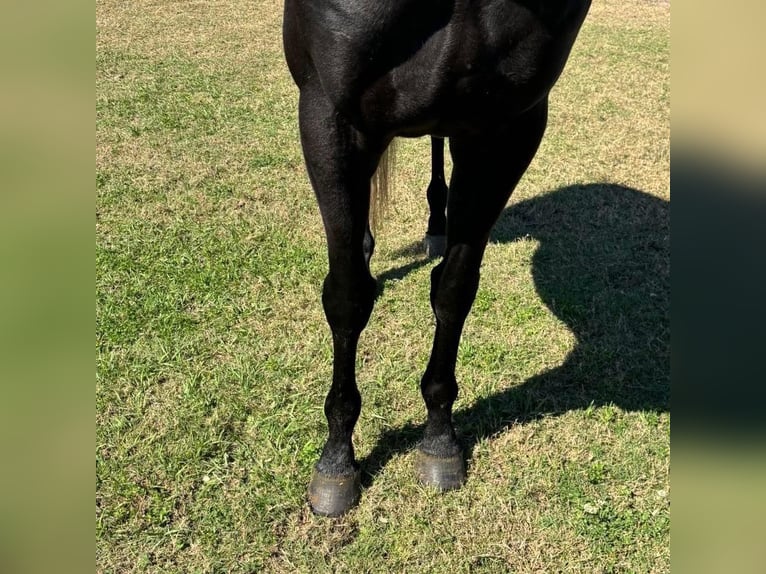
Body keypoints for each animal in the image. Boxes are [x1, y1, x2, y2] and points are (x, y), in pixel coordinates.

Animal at [284, 0, 592, 516]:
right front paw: (337, 460)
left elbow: (454, 288)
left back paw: (434, 226)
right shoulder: (329, 117)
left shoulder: (505, 131)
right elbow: (348, 298)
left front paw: (439, 439)